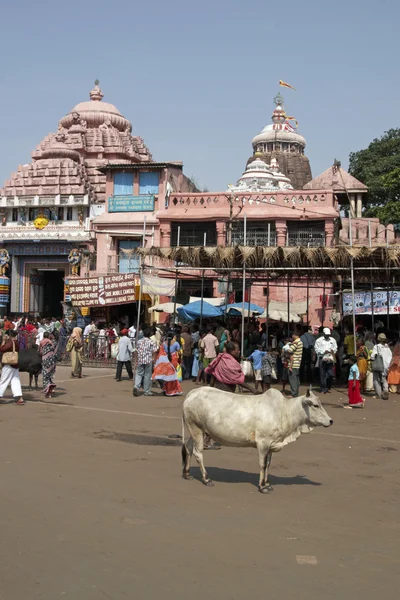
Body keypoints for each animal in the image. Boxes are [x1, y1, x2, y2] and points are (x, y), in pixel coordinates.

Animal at [181, 390, 332, 492]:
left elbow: (269, 464)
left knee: (188, 448)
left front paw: (268, 484)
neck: (285, 412)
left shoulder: (271, 445)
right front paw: (262, 486)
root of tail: (192, 393)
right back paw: (206, 479)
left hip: (194, 431)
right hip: (197, 429)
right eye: (315, 405)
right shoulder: (263, 443)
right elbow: (263, 464)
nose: (331, 421)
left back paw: (187, 474)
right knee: (198, 453)